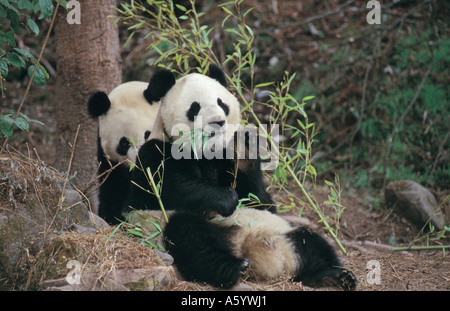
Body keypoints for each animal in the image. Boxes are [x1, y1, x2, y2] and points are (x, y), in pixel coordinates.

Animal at [88, 81, 160, 225]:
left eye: (147, 134)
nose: (140, 162)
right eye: (124, 143)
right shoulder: (109, 163)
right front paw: (116, 218)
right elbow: (112, 192)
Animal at [125, 64, 356, 292]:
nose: (218, 122)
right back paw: (232, 269)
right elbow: (165, 189)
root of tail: (249, 247)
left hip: (282, 230)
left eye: (221, 103)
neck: (207, 153)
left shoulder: (228, 163)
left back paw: (333, 276)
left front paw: (244, 147)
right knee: (189, 236)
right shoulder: (156, 152)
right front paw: (226, 199)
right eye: (195, 108)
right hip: (173, 228)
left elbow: (258, 199)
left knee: (310, 242)